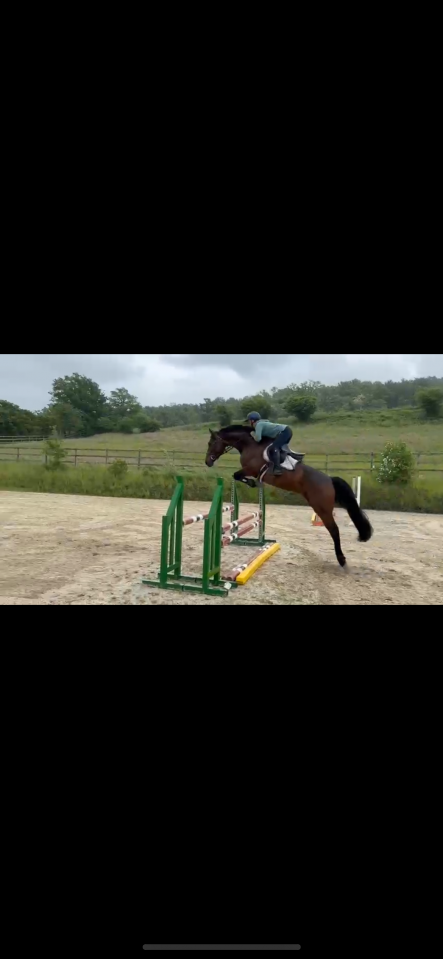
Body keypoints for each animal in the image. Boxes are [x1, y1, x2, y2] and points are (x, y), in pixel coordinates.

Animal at [205, 426, 373, 568]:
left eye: (211, 443)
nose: (207, 462)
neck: (249, 445)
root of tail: (329, 480)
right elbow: (237, 476)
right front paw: (254, 483)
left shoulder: (250, 469)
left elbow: (237, 475)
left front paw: (253, 483)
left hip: (322, 508)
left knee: (334, 530)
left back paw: (341, 560)